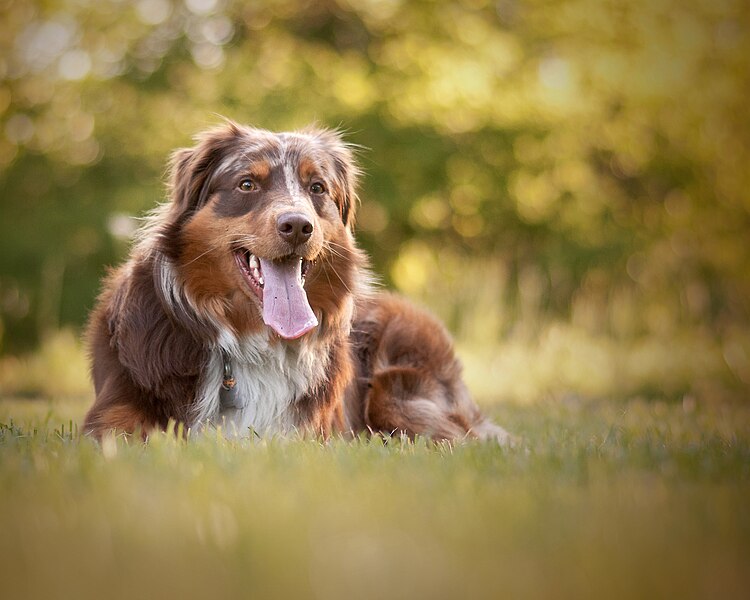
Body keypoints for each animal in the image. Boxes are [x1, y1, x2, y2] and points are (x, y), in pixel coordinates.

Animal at [85, 119, 516, 442]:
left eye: (317, 188)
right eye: (247, 184)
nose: (297, 226)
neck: (249, 341)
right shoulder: (111, 414)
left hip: (397, 388)